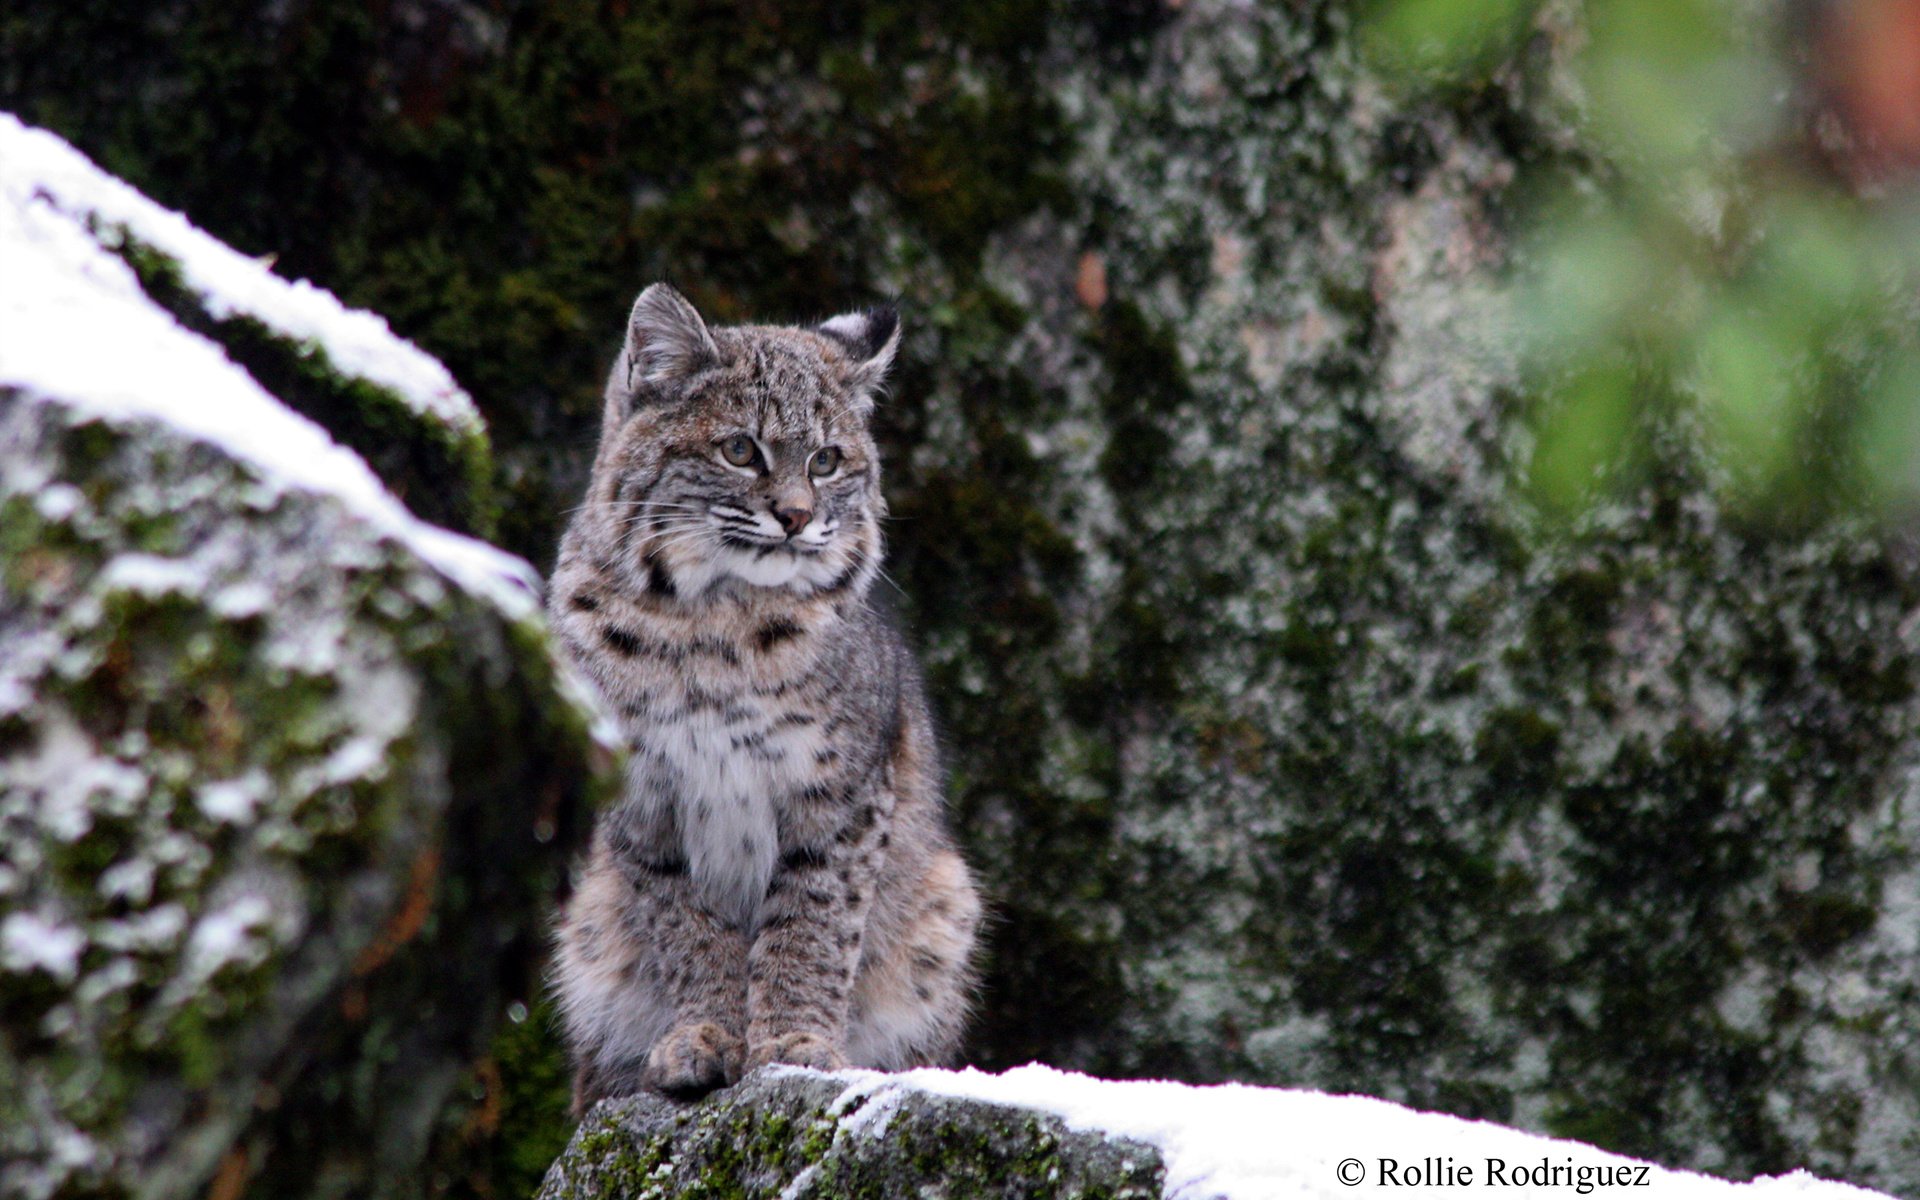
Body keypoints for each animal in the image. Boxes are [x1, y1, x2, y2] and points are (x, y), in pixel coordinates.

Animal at [549, 286, 983, 1105]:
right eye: (740, 450)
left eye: (826, 460)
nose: (795, 517)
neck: (711, 620)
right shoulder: (647, 800)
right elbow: (687, 927)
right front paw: (703, 1037)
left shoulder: (840, 793)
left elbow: (813, 923)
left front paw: (796, 1046)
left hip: (949, 899)